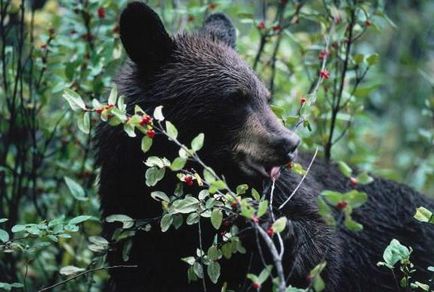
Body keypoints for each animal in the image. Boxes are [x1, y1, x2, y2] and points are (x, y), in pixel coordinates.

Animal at [96, 2, 432, 292]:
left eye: (265, 96)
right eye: (235, 98)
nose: (289, 143)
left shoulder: (285, 189)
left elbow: (324, 251)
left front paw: (272, 230)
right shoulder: (131, 221)